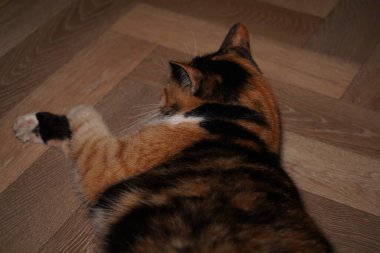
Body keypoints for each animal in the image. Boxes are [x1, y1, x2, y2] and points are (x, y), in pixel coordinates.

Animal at [13, 22, 332, 252]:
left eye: (166, 87)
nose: (158, 99)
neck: (246, 121)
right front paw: (29, 125)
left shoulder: (109, 163)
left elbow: (84, 119)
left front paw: (70, 111)